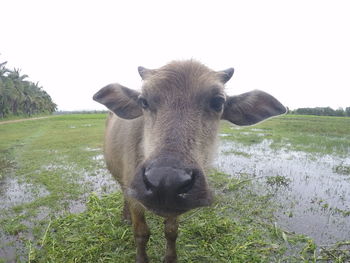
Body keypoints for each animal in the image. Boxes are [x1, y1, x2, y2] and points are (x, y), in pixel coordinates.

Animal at [92, 60, 284, 263]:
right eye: (143, 101)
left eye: (218, 102)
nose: (165, 182)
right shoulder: (134, 194)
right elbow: (141, 233)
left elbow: (171, 231)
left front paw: (170, 257)